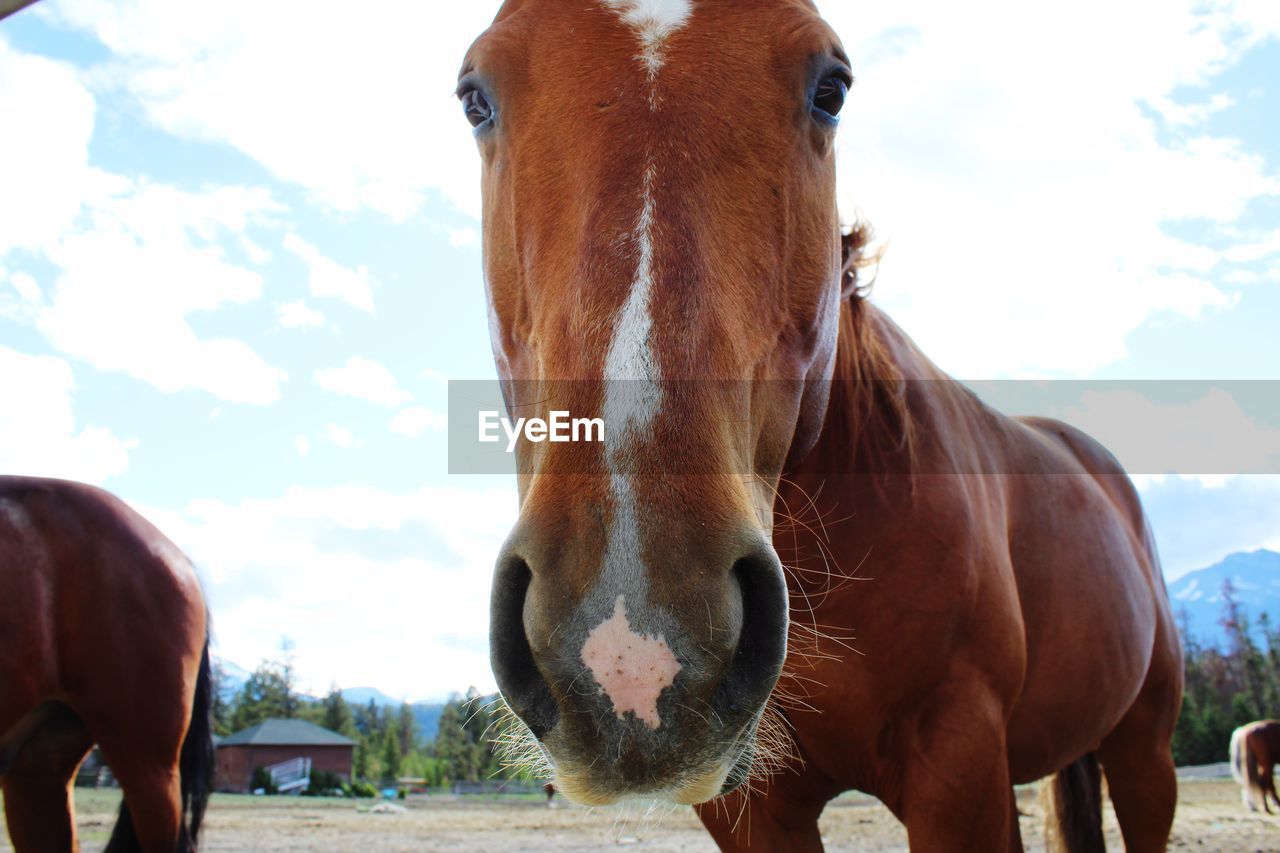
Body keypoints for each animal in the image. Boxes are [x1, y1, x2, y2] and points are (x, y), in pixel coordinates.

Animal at [458, 3, 1177, 845]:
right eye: (476, 98)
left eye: (830, 89)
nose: (629, 649)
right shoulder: (754, 810)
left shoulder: (960, 769)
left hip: (1143, 753)